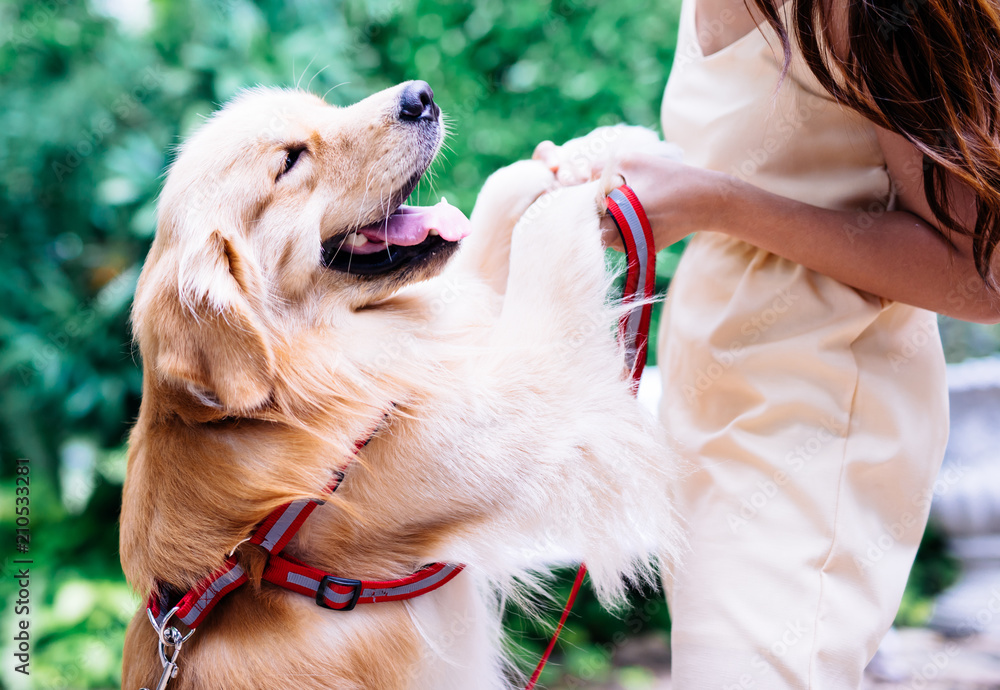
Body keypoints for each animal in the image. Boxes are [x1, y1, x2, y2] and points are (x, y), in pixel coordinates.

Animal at [117, 82, 680, 688]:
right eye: (290, 160)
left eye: (323, 108)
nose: (421, 96)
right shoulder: (531, 407)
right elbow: (540, 232)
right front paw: (583, 186)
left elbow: (492, 218)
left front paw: (596, 149)